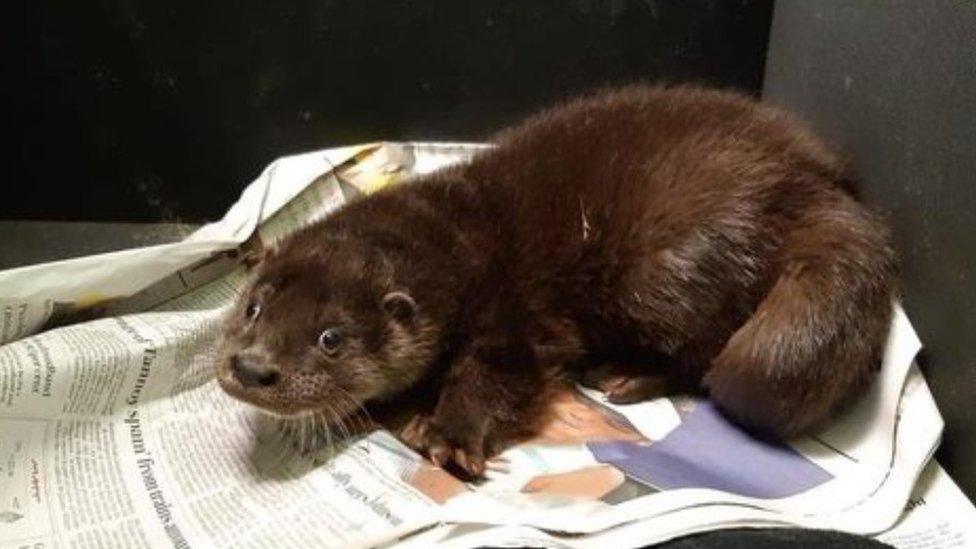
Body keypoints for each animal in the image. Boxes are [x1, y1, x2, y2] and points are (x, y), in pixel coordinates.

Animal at [215, 84, 900, 476]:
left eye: (332, 338)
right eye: (254, 307)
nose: (251, 367)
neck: (462, 238)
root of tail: (810, 185)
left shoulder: (513, 313)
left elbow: (501, 374)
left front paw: (447, 434)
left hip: (671, 267)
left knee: (706, 351)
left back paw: (627, 375)